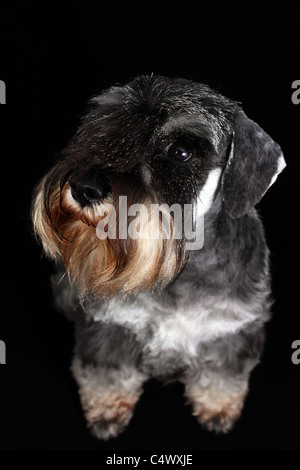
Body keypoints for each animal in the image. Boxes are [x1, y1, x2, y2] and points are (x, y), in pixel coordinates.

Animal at [31, 75, 286, 438]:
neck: (180, 272)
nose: (83, 187)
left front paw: (218, 409)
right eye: (105, 127)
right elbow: (107, 375)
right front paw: (107, 412)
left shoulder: (232, 331)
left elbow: (222, 376)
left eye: (180, 152)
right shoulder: (109, 326)